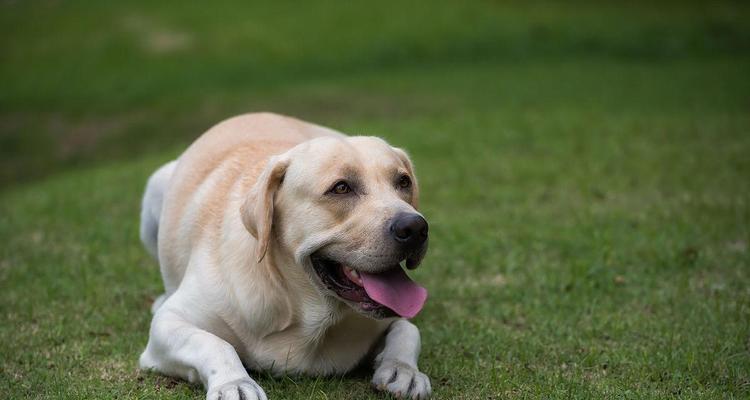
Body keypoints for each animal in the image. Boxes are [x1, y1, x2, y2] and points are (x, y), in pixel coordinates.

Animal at [138, 112, 432, 400]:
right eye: (341, 188)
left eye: (403, 182)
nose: (415, 228)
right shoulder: (168, 324)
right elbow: (214, 343)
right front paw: (234, 383)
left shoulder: (390, 318)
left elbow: (408, 329)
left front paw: (403, 369)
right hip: (155, 189)